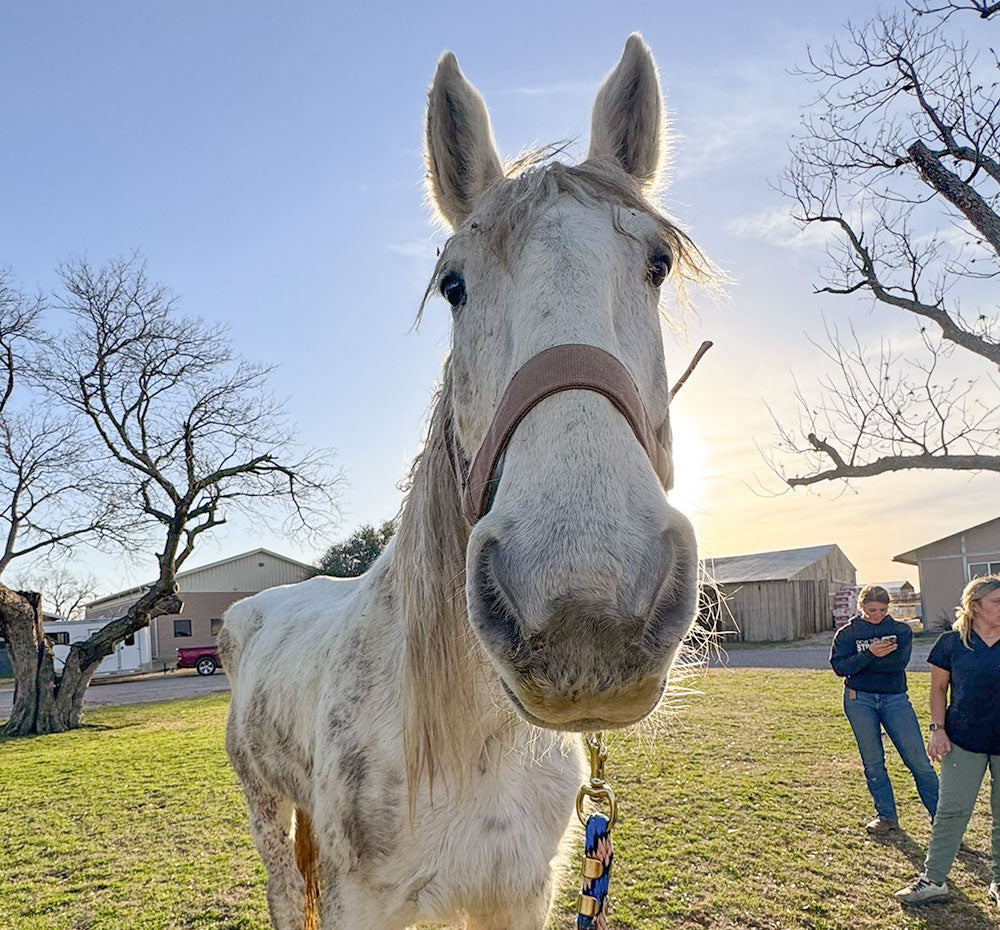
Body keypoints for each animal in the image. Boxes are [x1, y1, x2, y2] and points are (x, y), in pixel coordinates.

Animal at [220, 33, 707, 930]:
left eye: (656, 264)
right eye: (454, 285)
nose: (584, 608)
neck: (472, 740)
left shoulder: (518, 892)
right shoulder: (360, 902)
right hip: (267, 815)